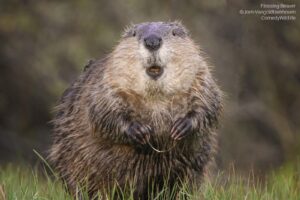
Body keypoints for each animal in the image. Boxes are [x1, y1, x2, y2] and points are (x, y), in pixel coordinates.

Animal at [48, 21, 223, 199]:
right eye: (134, 34)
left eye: (174, 33)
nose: (152, 41)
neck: (155, 97)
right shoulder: (107, 80)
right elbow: (102, 110)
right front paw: (141, 133)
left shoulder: (201, 75)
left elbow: (209, 102)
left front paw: (180, 128)